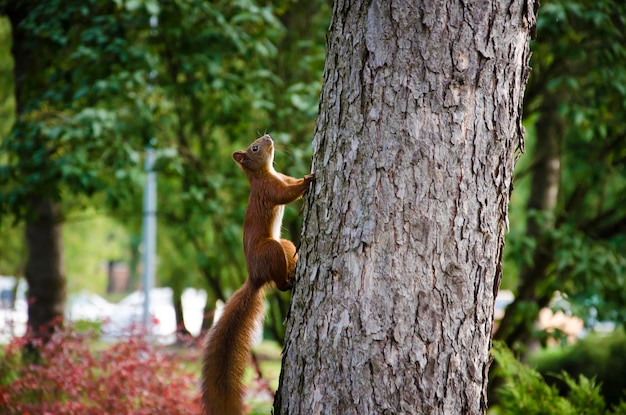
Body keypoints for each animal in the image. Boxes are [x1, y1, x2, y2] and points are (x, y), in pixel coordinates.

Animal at [202, 135, 314, 414]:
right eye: (254, 147)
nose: (269, 137)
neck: (265, 172)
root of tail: (255, 277)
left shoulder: (282, 177)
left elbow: (289, 184)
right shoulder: (270, 189)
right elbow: (286, 194)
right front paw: (308, 179)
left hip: (285, 246)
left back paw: (294, 267)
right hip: (271, 250)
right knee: (280, 285)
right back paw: (290, 280)